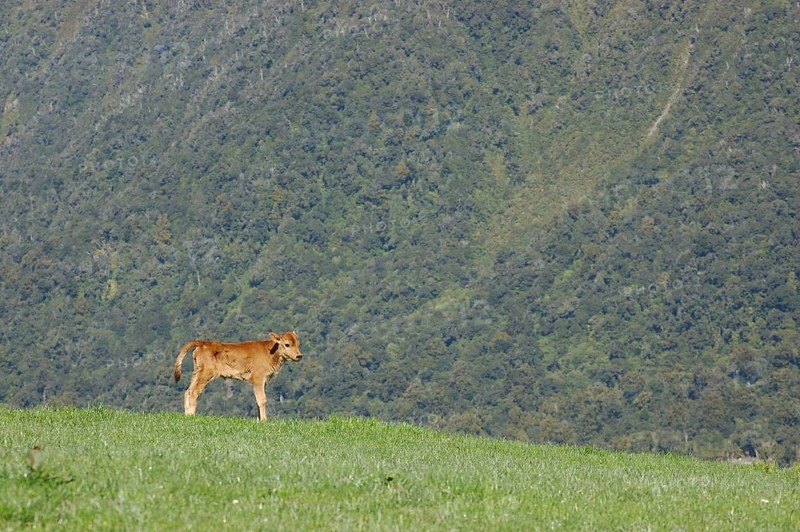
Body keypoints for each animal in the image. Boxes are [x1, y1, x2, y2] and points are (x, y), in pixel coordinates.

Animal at [173, 331, 303, 420]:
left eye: (298, 344)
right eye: (287, 344)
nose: (299, 356)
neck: (270, 351)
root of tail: (203, 342)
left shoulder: (263, 382)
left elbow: (257, 400)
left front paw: (259, 420)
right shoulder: (258, 379)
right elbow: (262, 400)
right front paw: (264, 420)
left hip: (197, 372)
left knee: (188, 391)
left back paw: (187, 415)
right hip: (205, 374)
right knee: (194, 392)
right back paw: (192, 416)